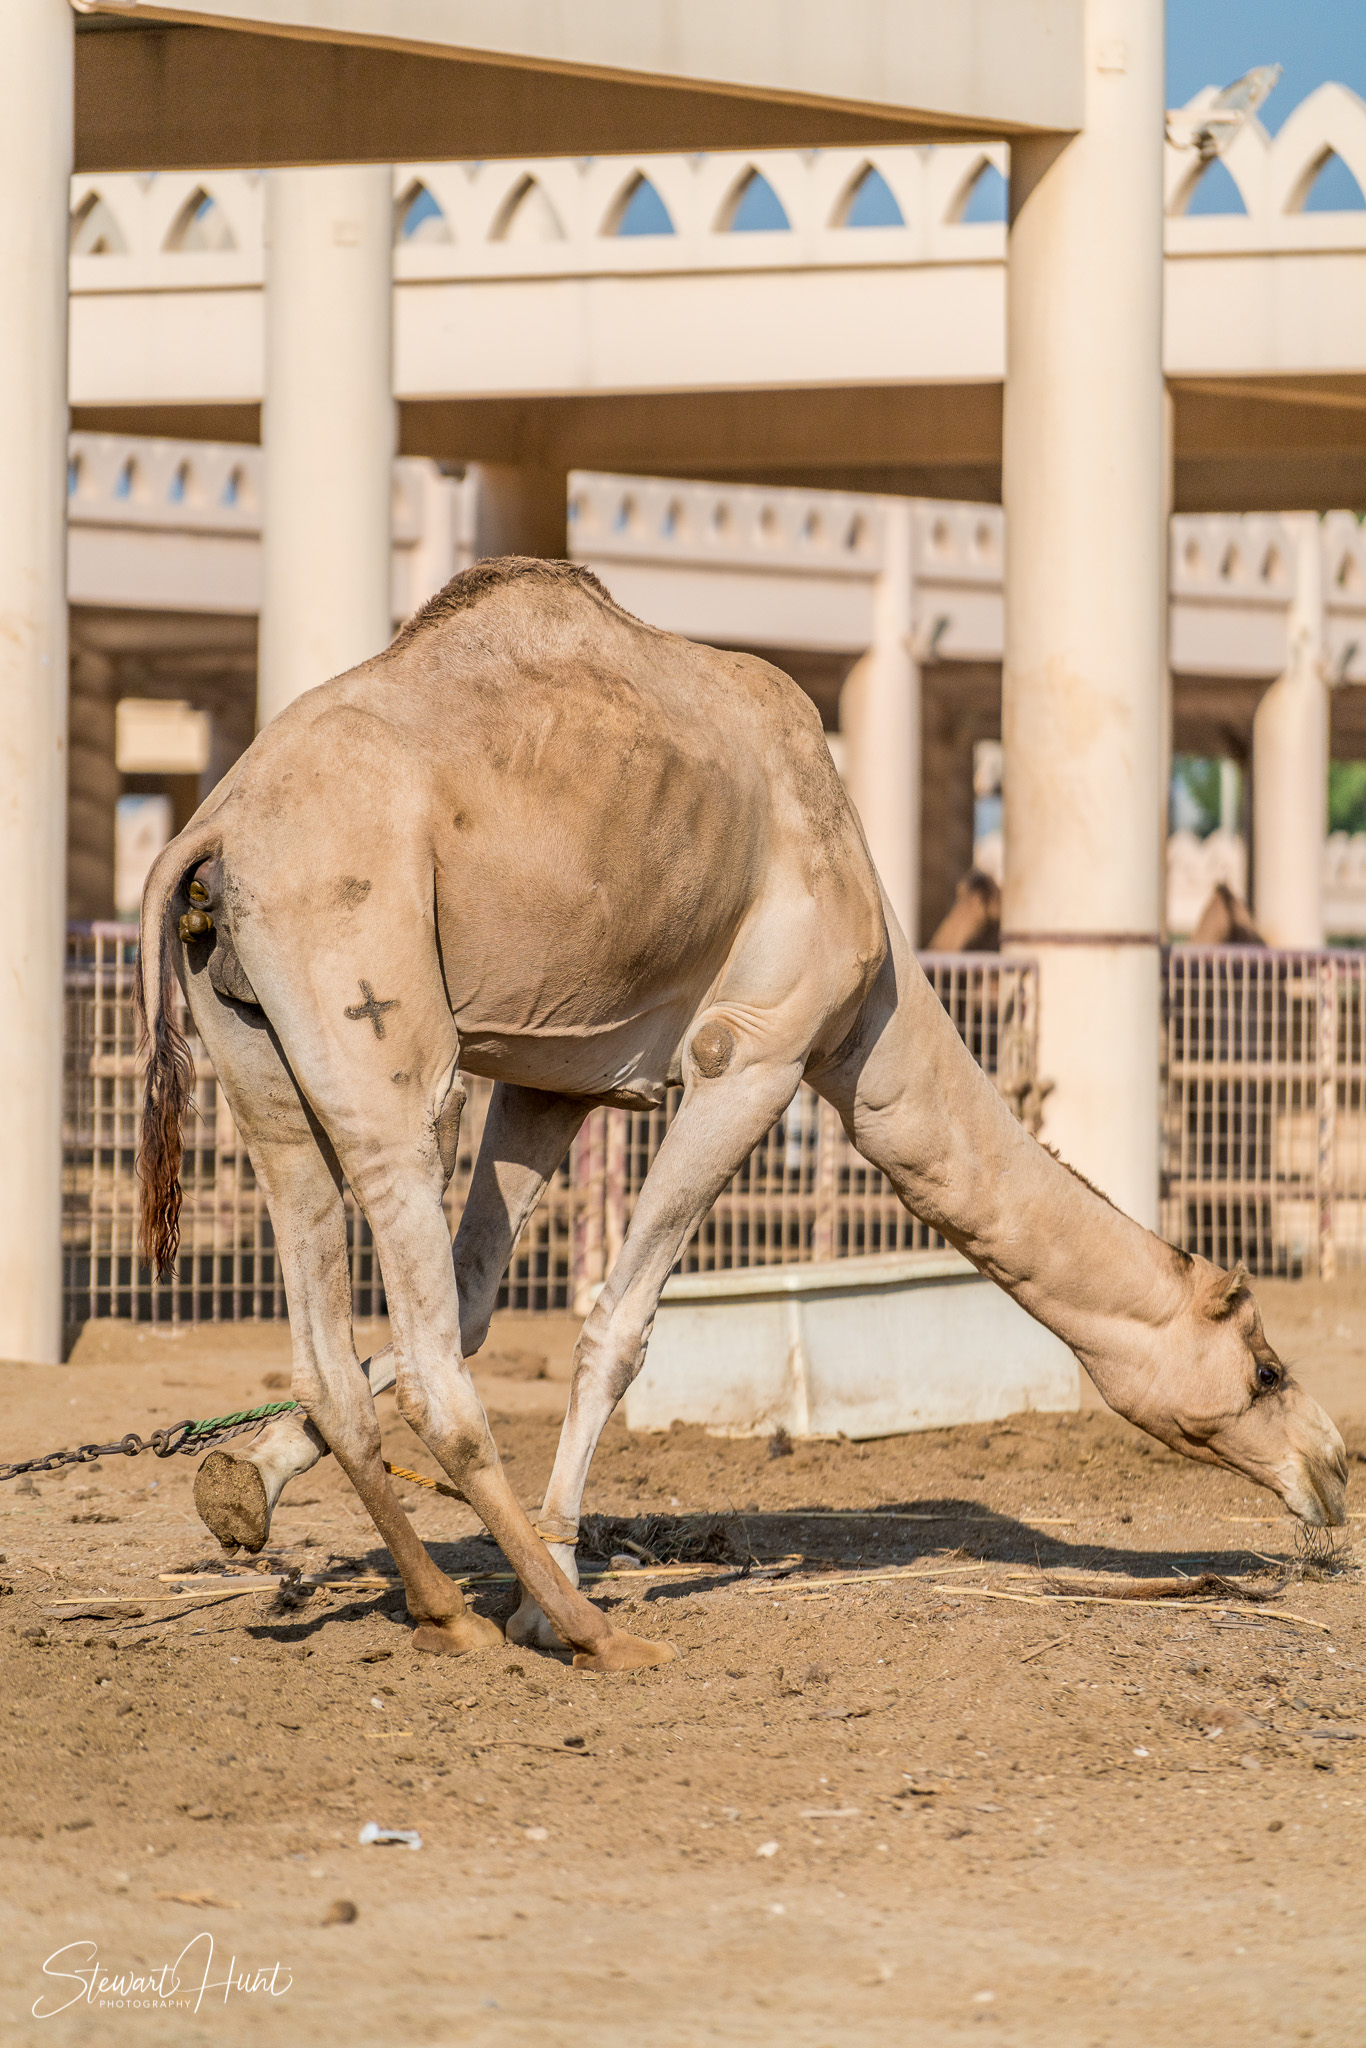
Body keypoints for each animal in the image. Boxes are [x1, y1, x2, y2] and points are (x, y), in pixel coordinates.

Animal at [138, 559, 1346, 1669]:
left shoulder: (555, 1073)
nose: (1333, 1475)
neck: (878, 1000)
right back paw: (593, 1633)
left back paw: (443, 1609)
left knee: (332, 1335)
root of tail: (211, 831)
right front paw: (546, 1596)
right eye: (1266, 1368)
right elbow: (615, 1328)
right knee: (436, 1344)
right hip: (373, 1005)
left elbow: (482, 1300)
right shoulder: (753, 1051)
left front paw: (241, 1484)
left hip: (259, 1051)